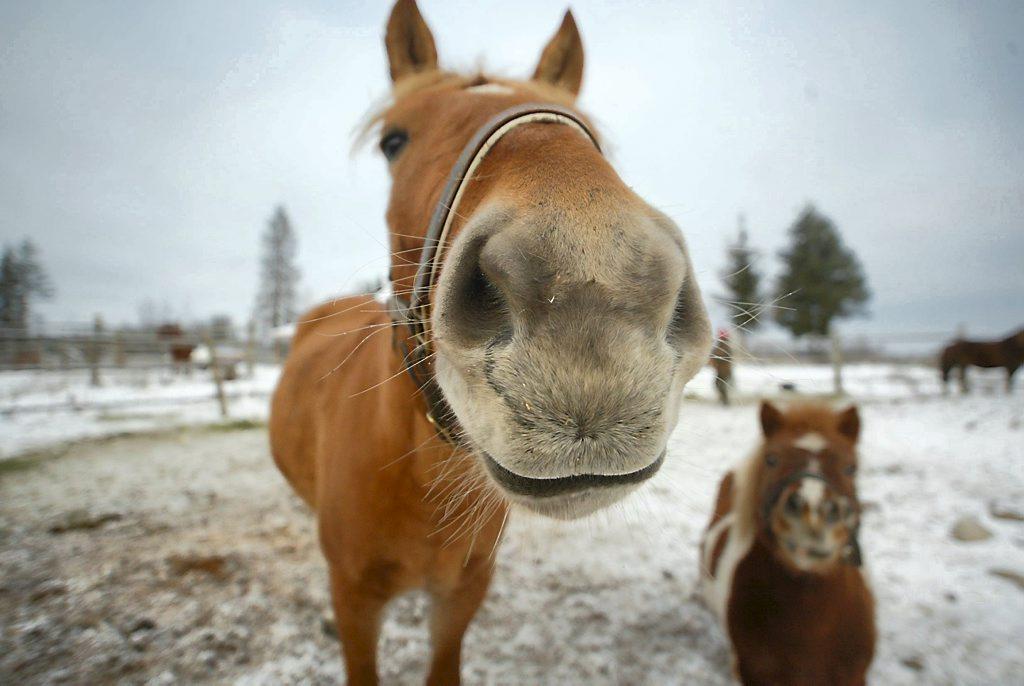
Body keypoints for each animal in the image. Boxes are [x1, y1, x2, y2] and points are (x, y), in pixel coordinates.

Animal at [270, 2, 712, 683]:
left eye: (592, 135)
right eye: (393, 141)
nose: (587, 297)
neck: (417, 482)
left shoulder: (463, 593)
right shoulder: (354, 600)